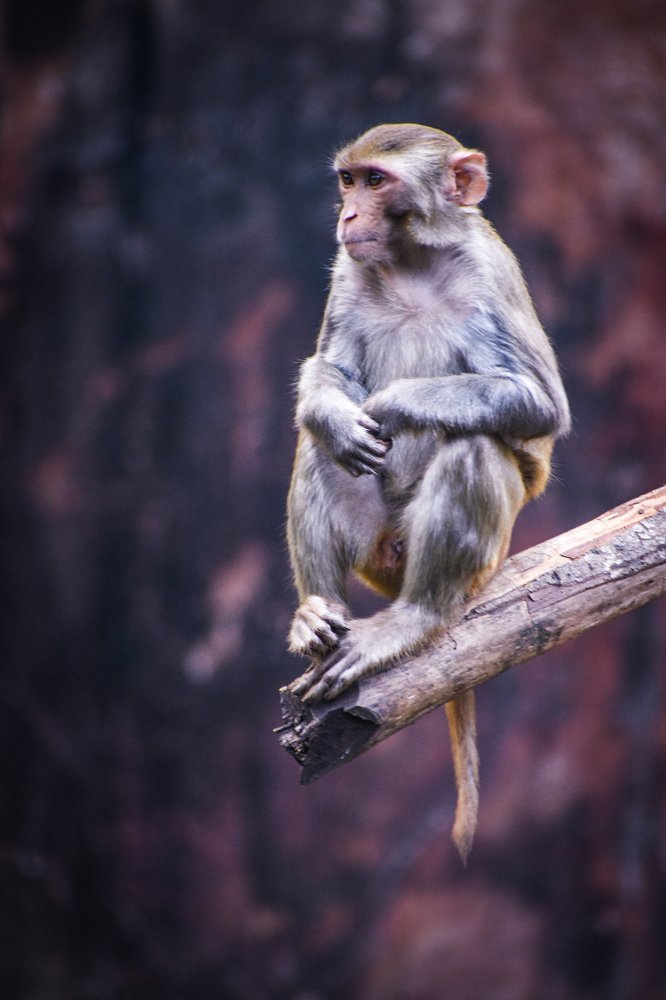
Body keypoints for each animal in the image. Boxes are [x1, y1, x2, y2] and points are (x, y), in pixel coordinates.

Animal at [285, 123, 570, 862]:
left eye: (376, 181)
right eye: (348, 180)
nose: (346, 215)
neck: (413, 262)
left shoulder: (489, 272)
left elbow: (539, 406)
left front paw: (394, 402)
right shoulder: (347, 270)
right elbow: (328, 375)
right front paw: (337, 414)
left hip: (481, 555)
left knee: (474, 443)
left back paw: (417, 616)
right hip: (374, 549)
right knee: (321, 451)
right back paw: (318, 614)